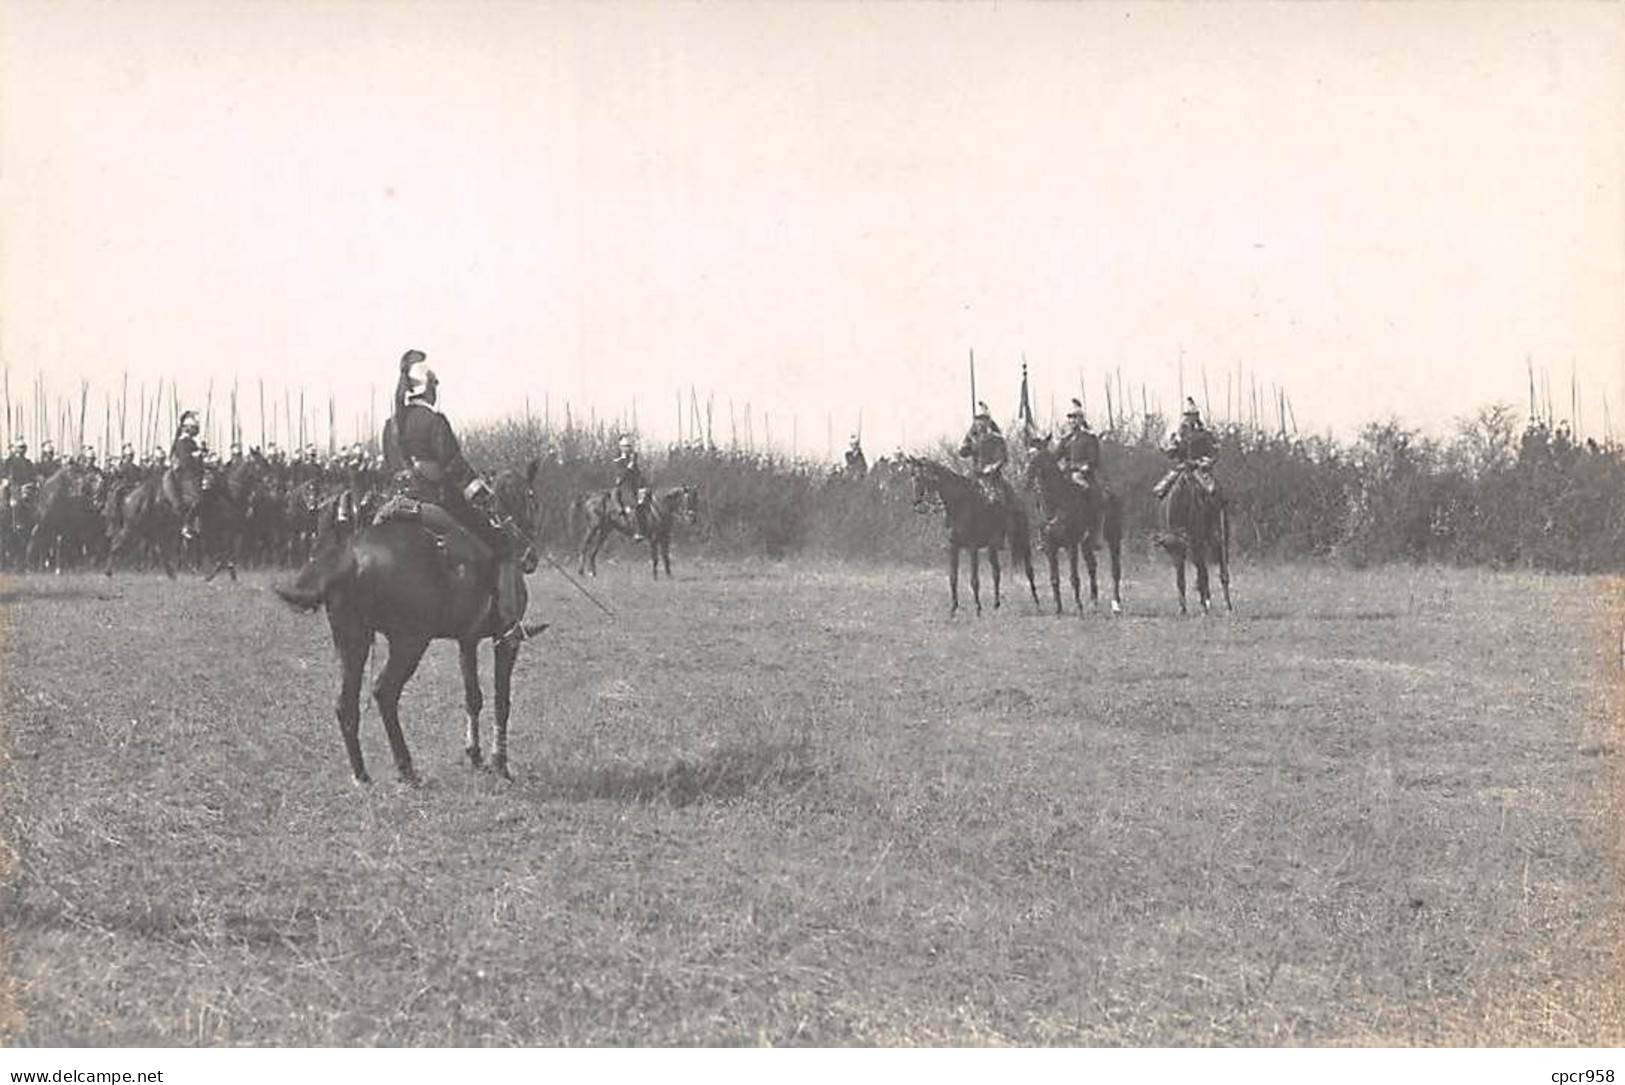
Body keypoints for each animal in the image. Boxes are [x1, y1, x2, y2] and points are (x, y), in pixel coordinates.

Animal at [282, 461, 549, 782]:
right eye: (533, 499)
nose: (530, 556)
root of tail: (352, 557)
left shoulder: (467, 640)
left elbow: (473, 697)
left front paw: (475, 755)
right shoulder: (505, 642)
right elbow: (501, 701)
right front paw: (500, 763)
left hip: (352, 639)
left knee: (345, 703)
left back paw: (362, 775)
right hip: (409, 643)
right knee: (384, 692)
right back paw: (406, 767)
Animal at [903, 454, 1040, 613]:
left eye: (920, 477)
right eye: (911, 475)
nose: (917, 503)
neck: (959, 504)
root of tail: (1018, 502)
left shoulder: (972, 547)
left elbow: (974, 580)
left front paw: (977, 608)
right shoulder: (953, 547)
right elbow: (953, 578)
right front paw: (953, 609)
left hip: (1023, 541)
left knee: (1029, 571)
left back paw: (1037, 602)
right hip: (992, 547)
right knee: (996, 572)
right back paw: (996, 604)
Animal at [1020, 435, 1124, 617]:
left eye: (1039, 456)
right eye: (1027, 454)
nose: (1026, 480)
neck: (1057, 503)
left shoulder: (1071, 546)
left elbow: (1074, 578)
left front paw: (1078, 607)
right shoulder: (1050, 548)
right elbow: (1054, 579)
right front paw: (1058, 609)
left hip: (1113, 540)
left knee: (1115, 571)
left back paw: (1115, 605)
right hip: (1086, 544)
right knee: (1092, 567)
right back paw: (1094, 603)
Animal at [1157, 467, 1228, 617]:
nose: (1214, 492)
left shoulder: (1196, 545)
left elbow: (1202, 575)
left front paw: (1205, 605)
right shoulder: (1179, 550)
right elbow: (1181, 580)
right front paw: (1183, 608)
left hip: (1213, 542)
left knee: (1217, 572)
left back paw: (1222, 604)